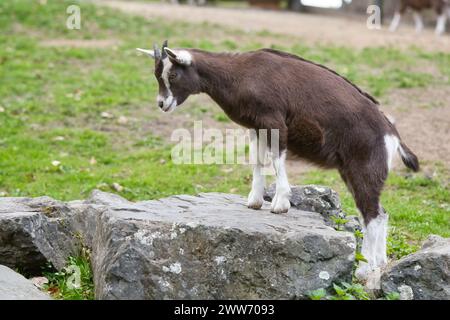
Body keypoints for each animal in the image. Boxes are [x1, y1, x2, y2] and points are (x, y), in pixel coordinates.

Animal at [136, 40, 418, 280]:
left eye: (173, 75)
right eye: (156, 75)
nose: (162, 103)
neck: (240, 74)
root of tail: (391, 133)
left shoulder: (275, 121)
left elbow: (276, 159)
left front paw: (280, 203)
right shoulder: (256, 127)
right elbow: (258, 160)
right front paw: (255, 201)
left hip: (365, 169)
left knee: (372, 215)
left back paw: (363, 269)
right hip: (353, 171)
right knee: (379, 213)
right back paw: (379, 263)